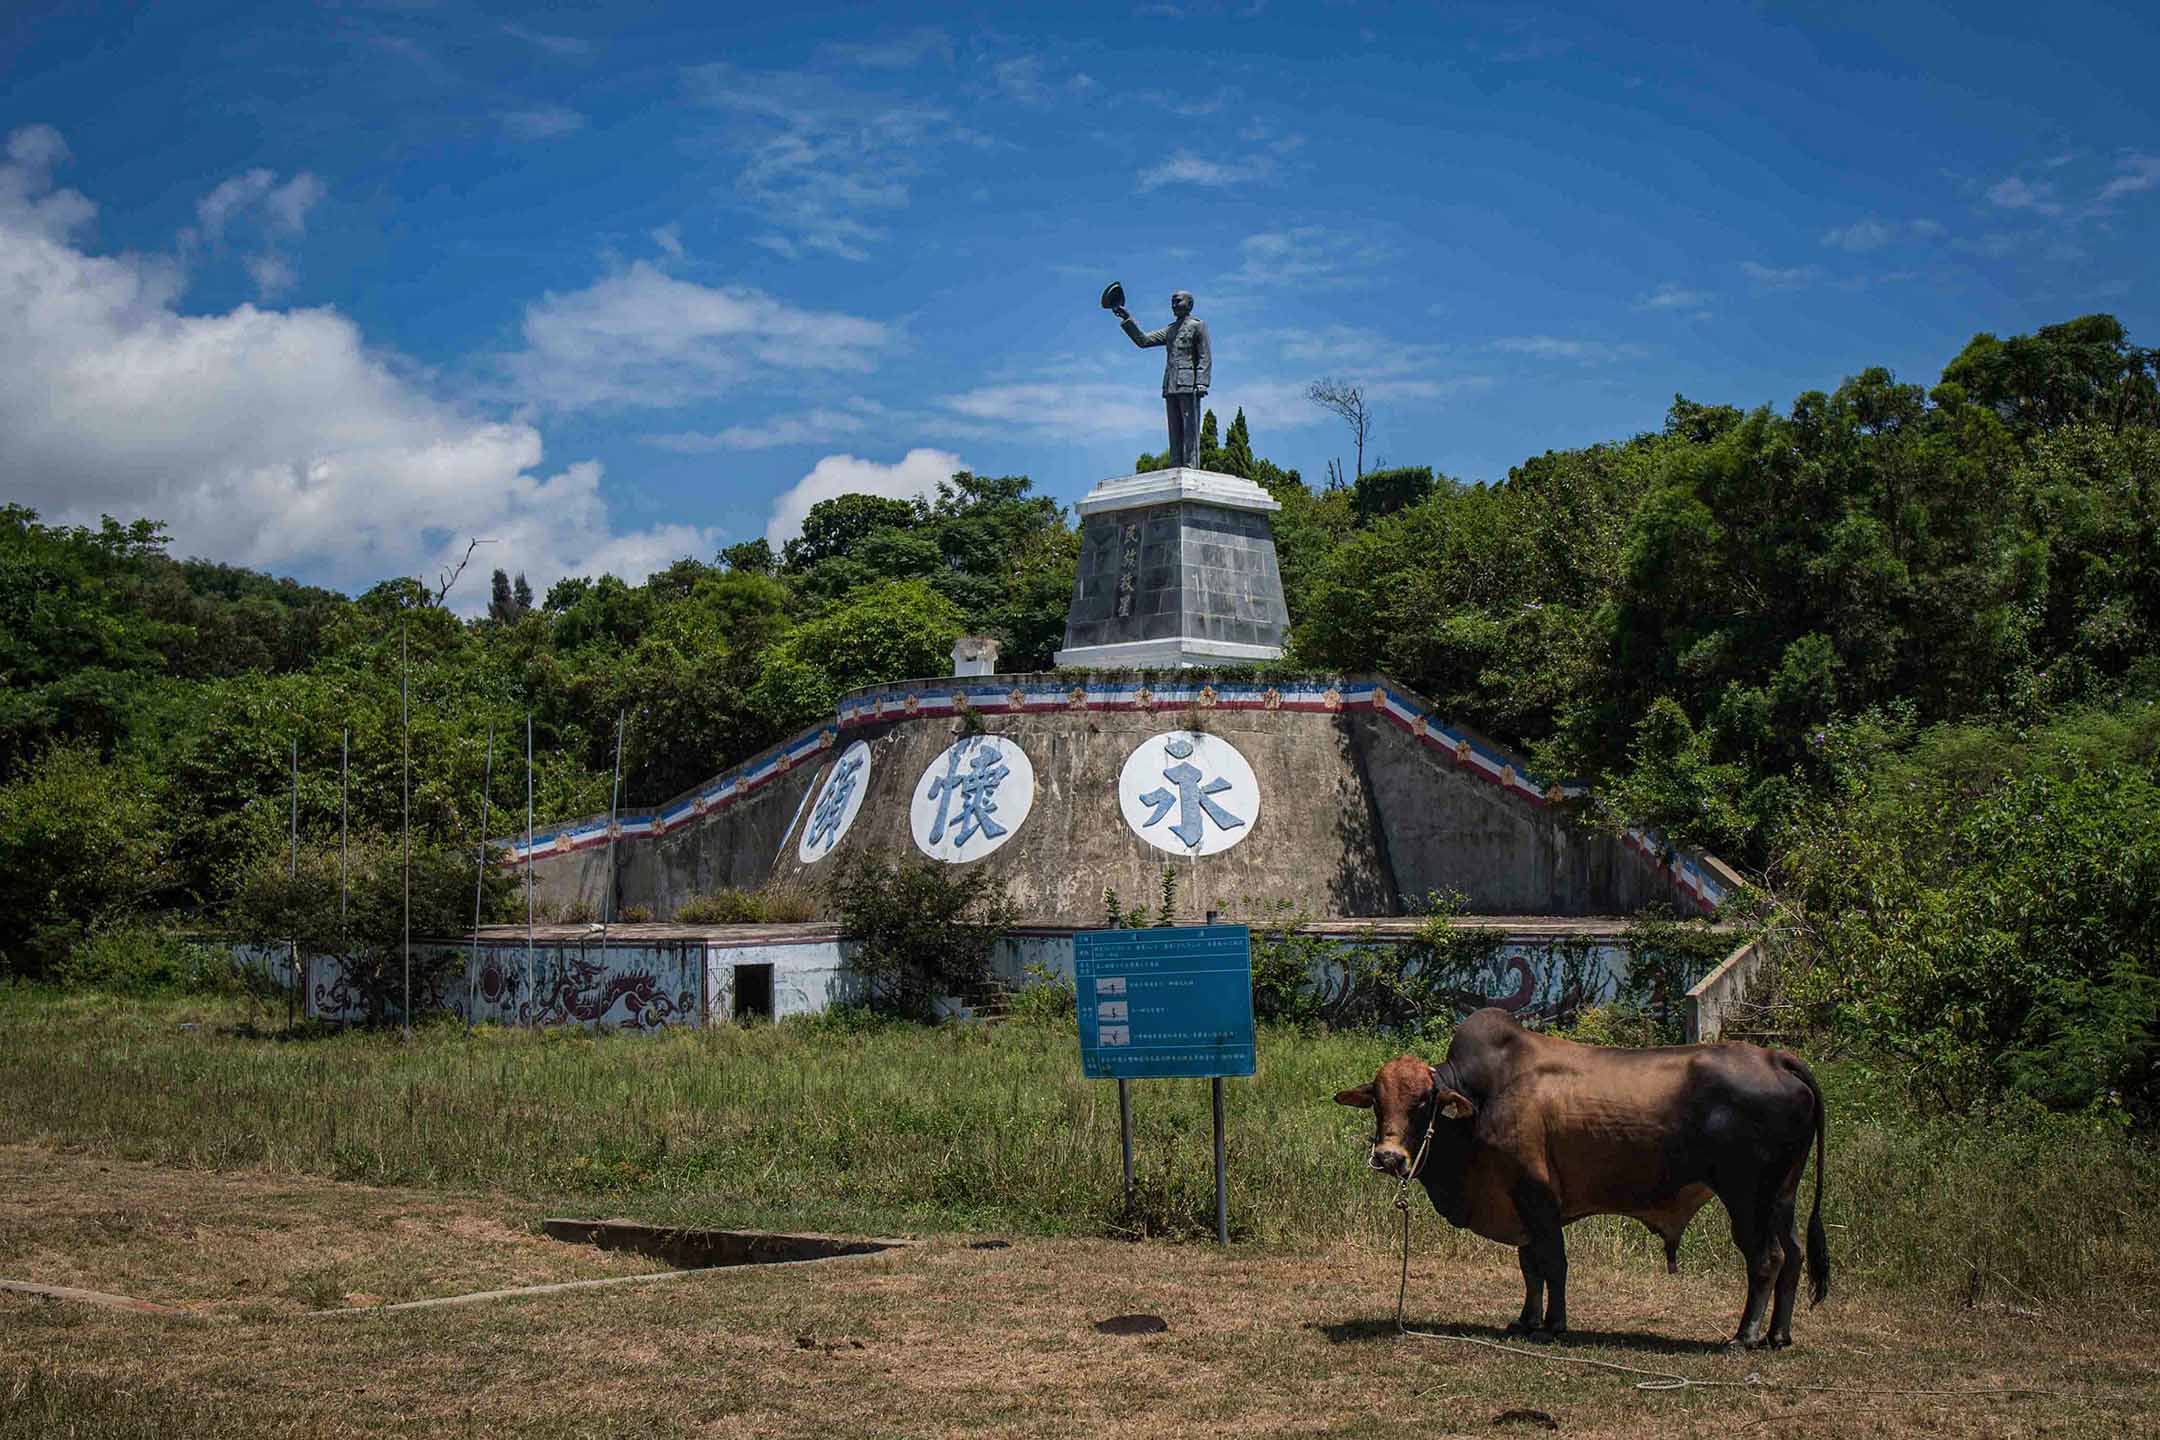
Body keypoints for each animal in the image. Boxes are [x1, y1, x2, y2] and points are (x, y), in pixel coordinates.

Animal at [1339, 1001, 1831, 1355]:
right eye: (1378, 1101)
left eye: (1423, 1101)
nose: (1388, 1157)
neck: (1481, 1100)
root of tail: (1776, 1057)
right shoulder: (1518, 1204)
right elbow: (1530, 1267)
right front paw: (1526, 1320)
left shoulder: (1537, 1197)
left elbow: (1553, 1263)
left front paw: (1553, 1325)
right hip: (1783, 1196)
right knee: (1794, 1254)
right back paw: (1778, 1336)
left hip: (1747, 1197)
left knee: (1765, 1258)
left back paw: (1744, 1336)